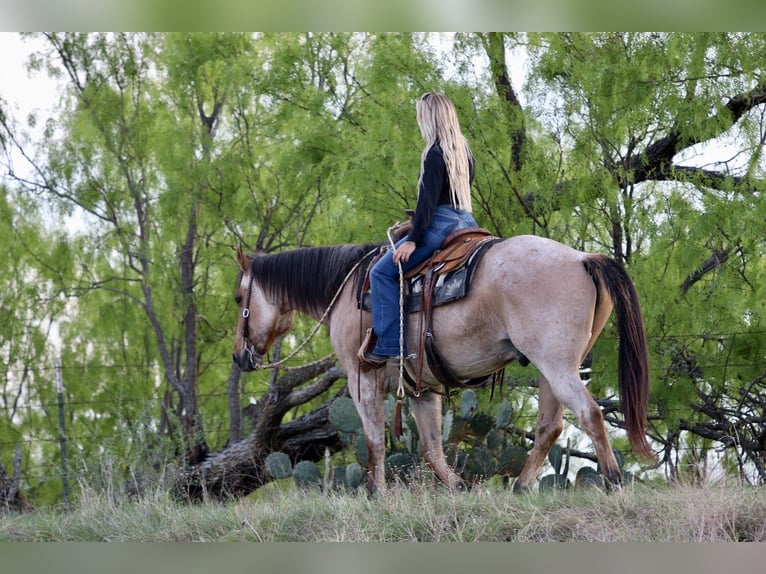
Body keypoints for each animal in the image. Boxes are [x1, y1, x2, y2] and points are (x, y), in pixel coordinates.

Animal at [231, 234, 653, 493]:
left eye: (238, 299)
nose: (239, 355)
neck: (348, 288)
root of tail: (582, 258)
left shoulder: (360, 378)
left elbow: (374, 441)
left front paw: (378, 494)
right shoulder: (422, 387)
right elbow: (432, 448)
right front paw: (459, 488)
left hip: (557, 366)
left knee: (590, 414)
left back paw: (613, 480)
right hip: (550, 369)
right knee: (550, 427)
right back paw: (520, 487)